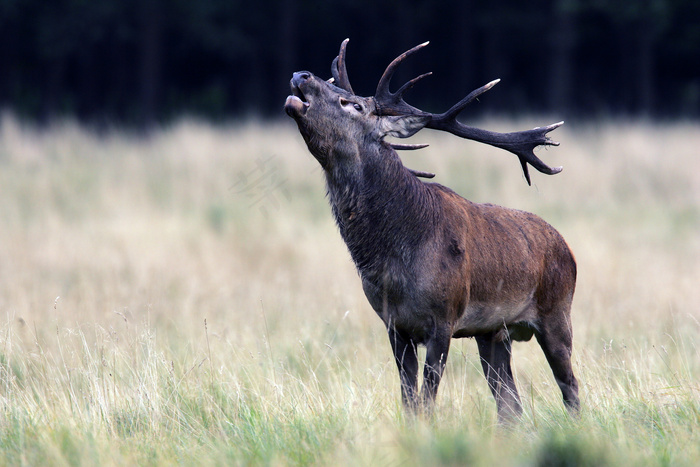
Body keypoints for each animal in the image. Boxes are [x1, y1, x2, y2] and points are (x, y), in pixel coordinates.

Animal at [284, 38, 580, 422]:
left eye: (353, 104)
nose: (301, 74)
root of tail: (568, 249)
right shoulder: (394, 325)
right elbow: (409, 401)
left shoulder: (443, 318)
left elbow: (426, 401)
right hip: (494, 332)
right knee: (510, 405)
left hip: (558, 313)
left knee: (570, 387)